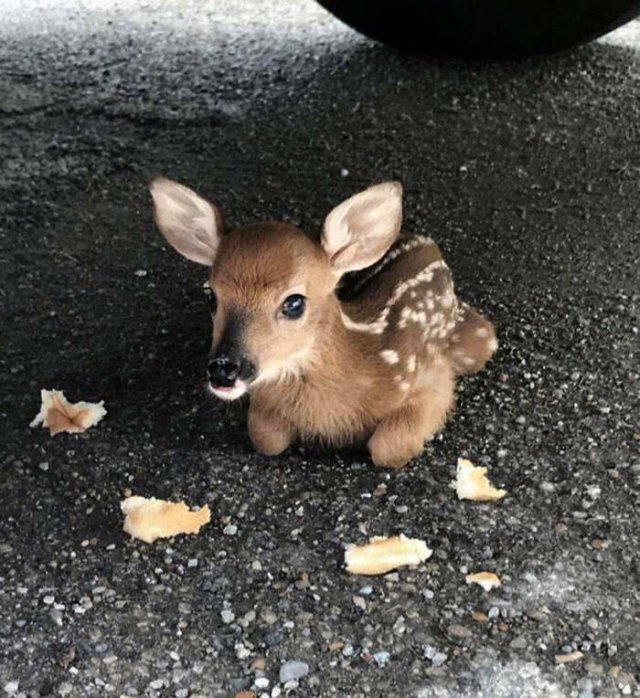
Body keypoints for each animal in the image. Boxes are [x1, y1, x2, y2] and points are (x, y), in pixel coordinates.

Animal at [150, 177, 496, 464]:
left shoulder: (431, 377)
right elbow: (265, 438)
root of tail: (425, 242)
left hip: (476, 342)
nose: (224, 368)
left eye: (294, 303)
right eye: (211, 295)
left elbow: (387, 448)